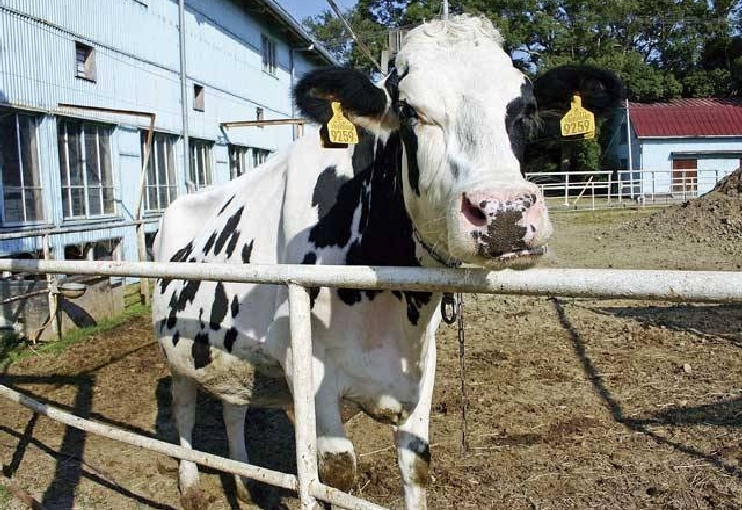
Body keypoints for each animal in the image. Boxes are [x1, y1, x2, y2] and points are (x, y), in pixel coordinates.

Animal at [154, 14, 624, 510]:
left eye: (526, 108)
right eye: (409, 111)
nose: (504, 213)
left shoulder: (421, 370)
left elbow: (416, 464)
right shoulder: (314, 375)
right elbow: (335, 474)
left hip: (231, 353)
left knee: (232, 407)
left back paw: (245, 480)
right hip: (174, 349)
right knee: (184, 410)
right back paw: (189, 485)